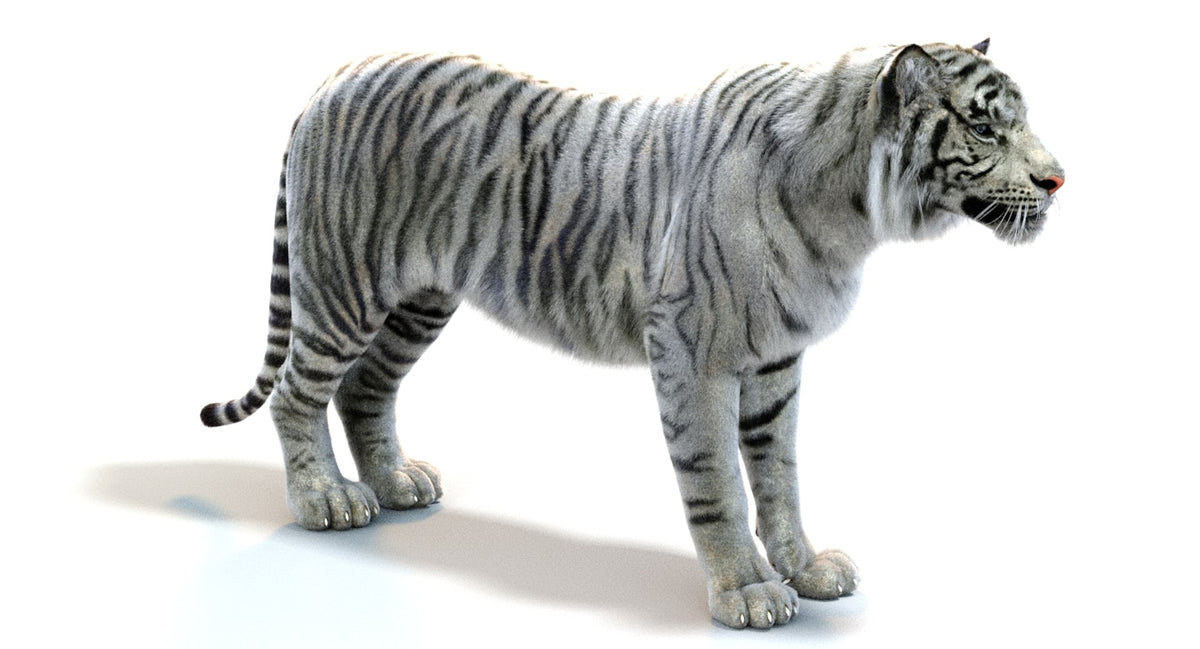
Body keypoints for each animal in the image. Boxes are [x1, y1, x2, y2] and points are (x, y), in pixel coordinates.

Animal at [200, 38, 1063, 629]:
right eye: (987, 129)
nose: (1059, 178)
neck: (851, 211)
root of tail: (335, 75)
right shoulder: (694, 352)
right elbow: (717, 481)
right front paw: (748, 591)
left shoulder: (778, 362)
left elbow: (780, 475)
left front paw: (807, 568)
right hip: (343, 287)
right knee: (296, 394)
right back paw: (325, 499)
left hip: (420, 299)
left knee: (365, 389)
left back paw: (396, 483)